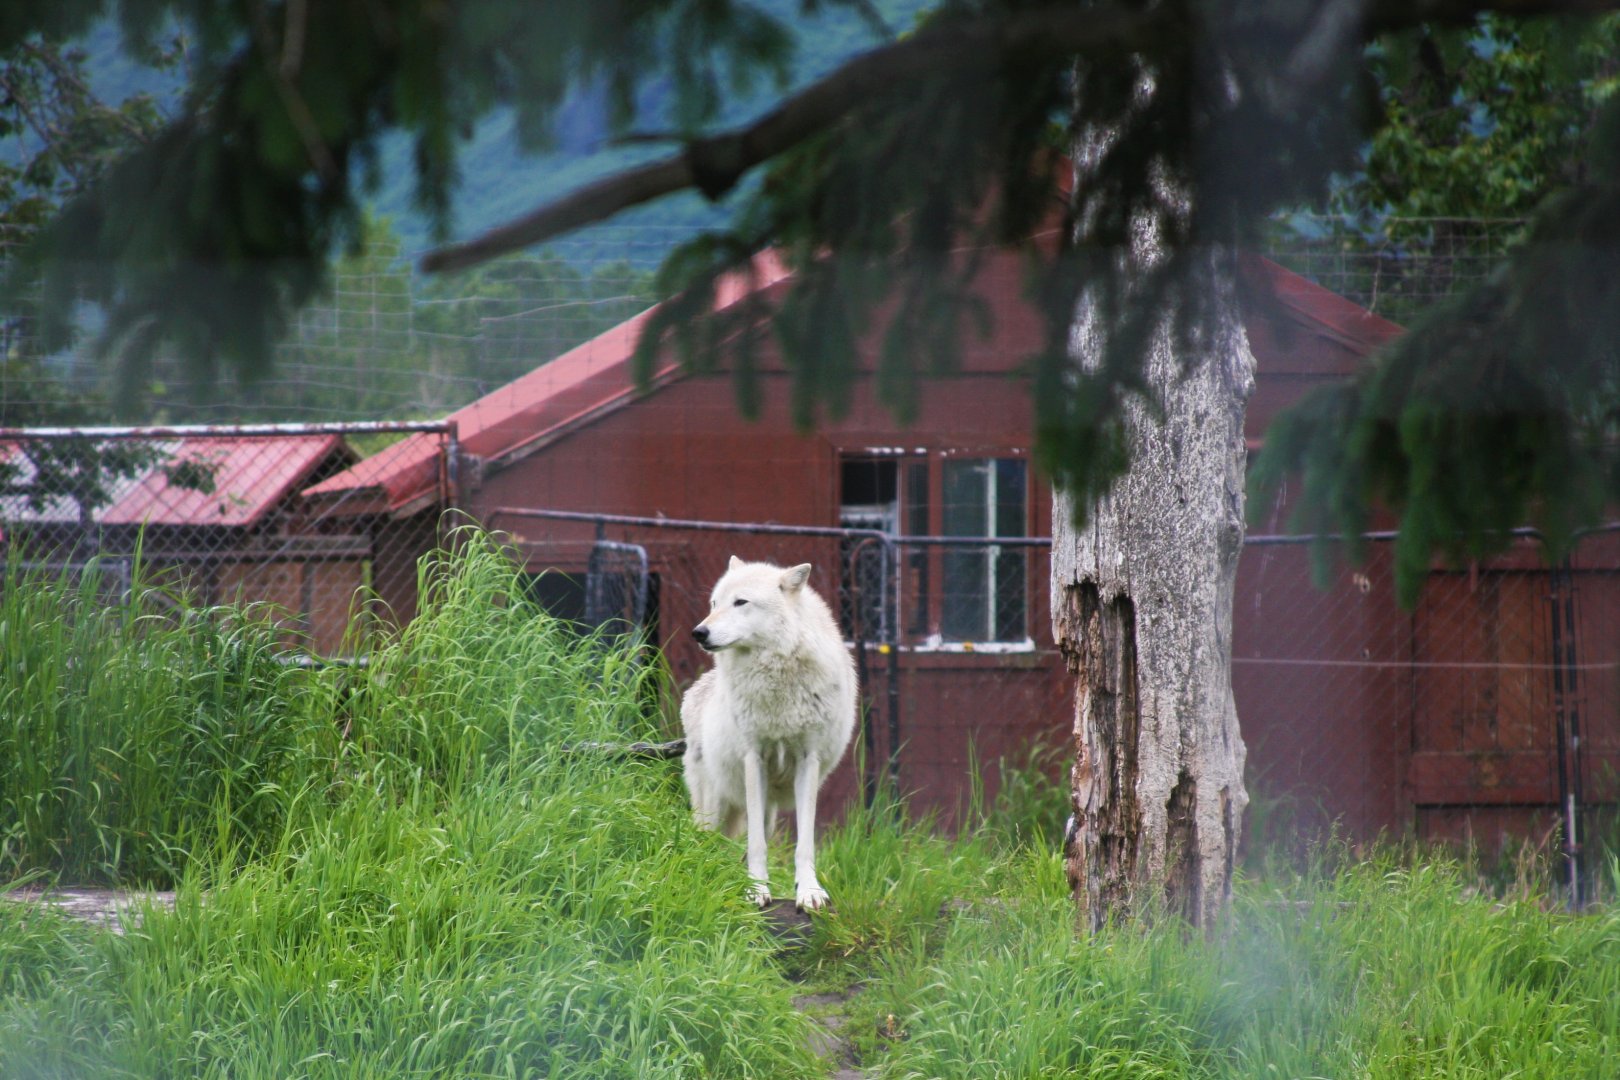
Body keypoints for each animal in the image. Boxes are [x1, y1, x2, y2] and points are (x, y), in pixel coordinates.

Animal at [680, 556, 857, 910]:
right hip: (715, 805)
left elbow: (804, 842)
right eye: (714, 603)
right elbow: (758, 845)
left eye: (740, 602)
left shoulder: (808, 761)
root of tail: (695, 690)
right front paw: (755, 890)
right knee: (708, 840)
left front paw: (809, 891)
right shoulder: (754, 759)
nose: (698, 632)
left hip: (767, 809)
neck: (776, 675)